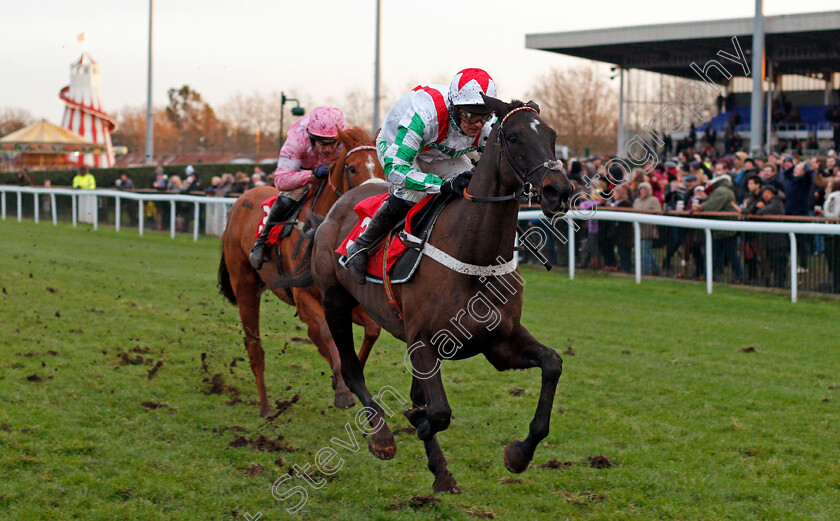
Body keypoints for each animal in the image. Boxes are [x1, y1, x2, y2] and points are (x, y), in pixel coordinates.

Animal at [217, 128, 388, 416]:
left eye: (382, 166)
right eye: (352, 168)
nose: (373, 199)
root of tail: (241, 200)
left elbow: (372, 330)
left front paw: (346, 378)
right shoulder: (306, 297)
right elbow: (328, 333)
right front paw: (343, 390)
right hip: (244, 286)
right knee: (254, 345)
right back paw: (265, 407)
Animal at [312, 97, 576, 492]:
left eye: (552, 135)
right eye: (514, 137)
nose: (558, 191)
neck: (476, 255)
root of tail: (340, 204)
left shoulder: (499, 343)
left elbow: (552, 364)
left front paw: (519, 453)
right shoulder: (422, 342)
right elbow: (437, 412)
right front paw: (418, 428)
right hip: (335, 302)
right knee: (352, 370)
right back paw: (382, 437)